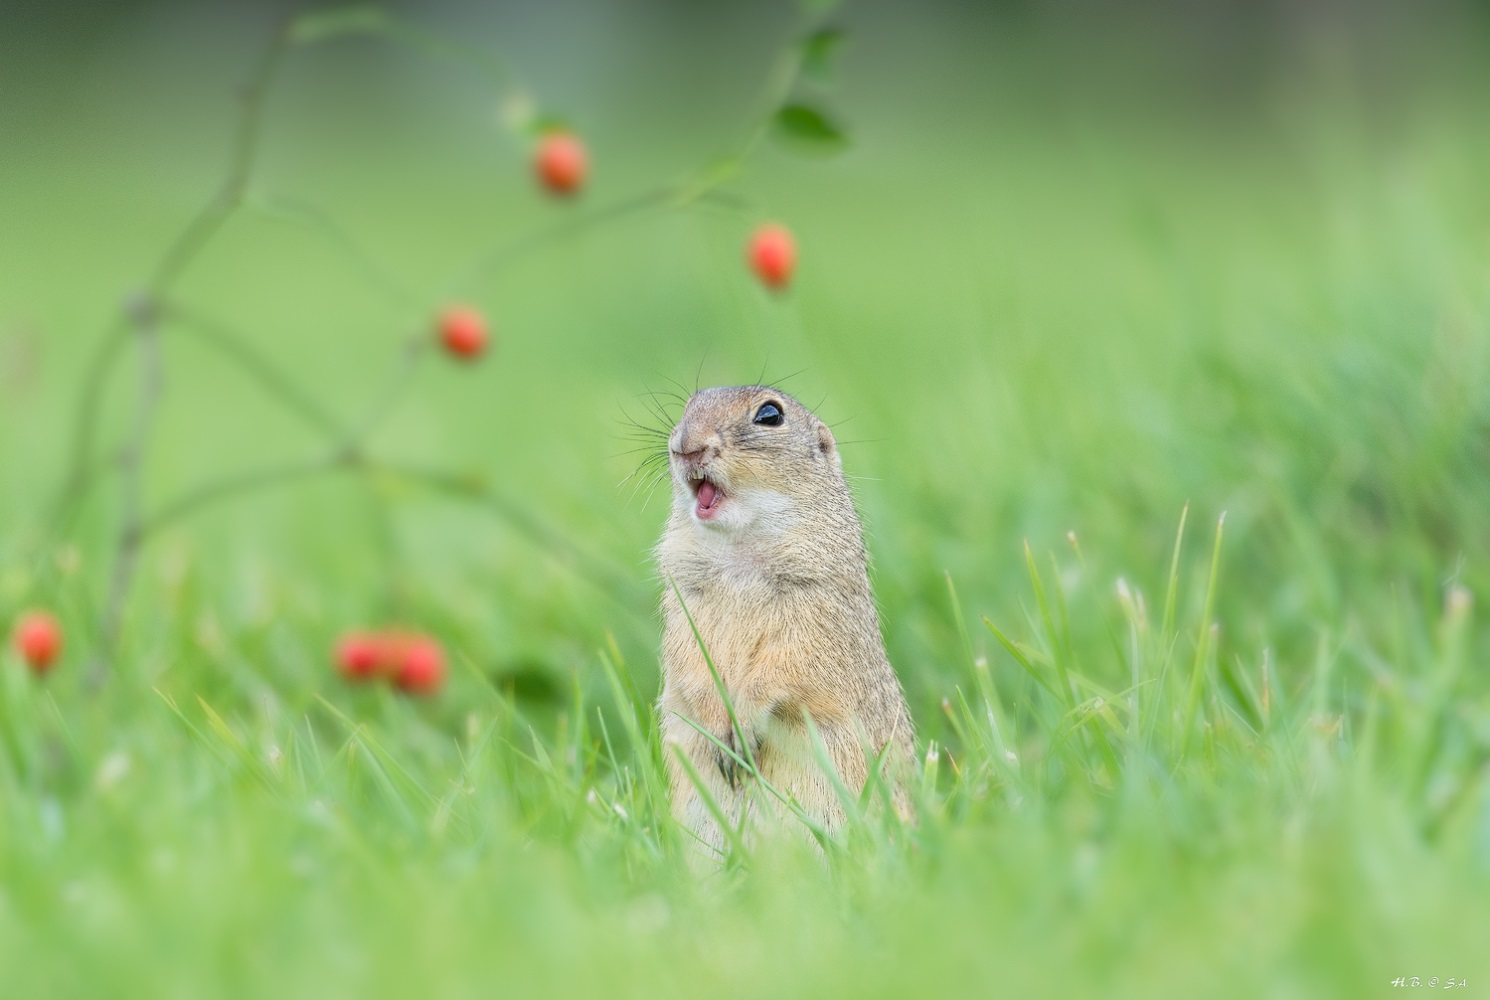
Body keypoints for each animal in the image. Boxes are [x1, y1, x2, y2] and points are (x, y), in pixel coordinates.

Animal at [658, 384, 911, 852]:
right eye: (689, 405)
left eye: (770, 415)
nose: (685, 445)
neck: (738, 549)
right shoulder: (683, 600)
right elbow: (688, 661)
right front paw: (718, 727)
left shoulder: (816, 608)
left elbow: (785, 667)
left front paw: (742, 724)